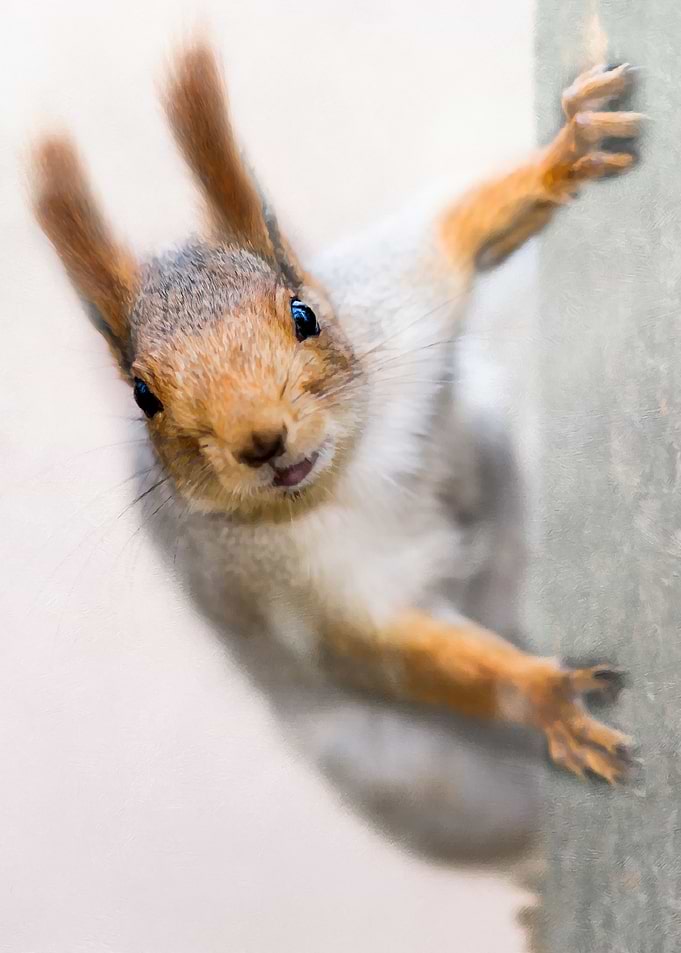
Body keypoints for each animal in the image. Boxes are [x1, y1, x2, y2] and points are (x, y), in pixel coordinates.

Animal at [32, 45, 640, 860]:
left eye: (303, 314)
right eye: (142, 395)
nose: (261, 441)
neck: (348, 471)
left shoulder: (403, 289)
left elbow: (464, 225)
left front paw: (566, 152)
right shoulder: (304, 594)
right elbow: (395, 652)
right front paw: (546, 698)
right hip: (414, 775)